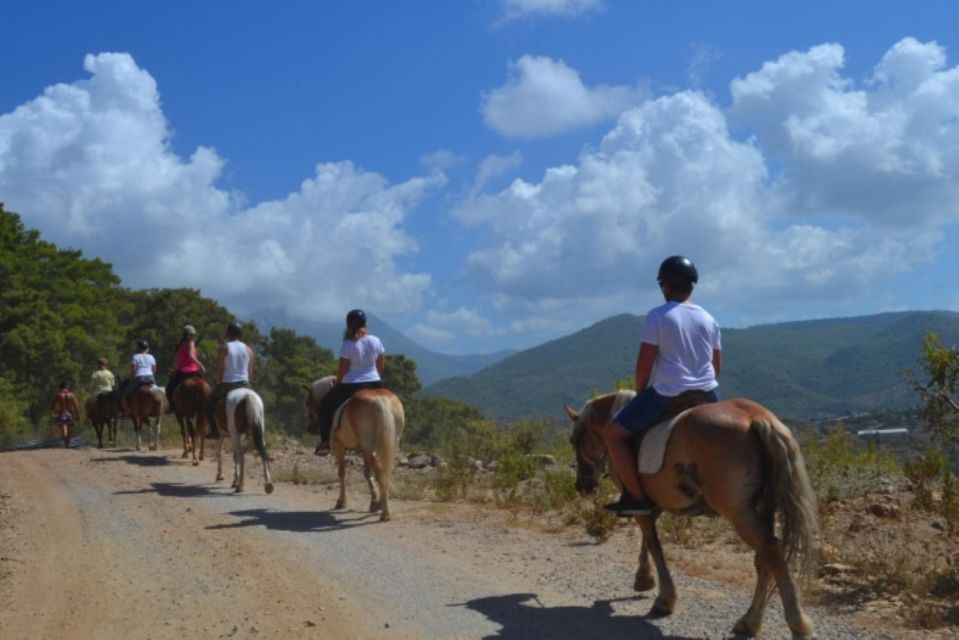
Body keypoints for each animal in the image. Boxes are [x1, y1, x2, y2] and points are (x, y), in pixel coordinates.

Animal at [304, 376, 402, 520]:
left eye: (308, 402)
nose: (310, 429)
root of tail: (379, 399)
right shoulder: (363, 449)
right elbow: (367, 473)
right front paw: (374, 501)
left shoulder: (339, 447)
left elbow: (342, 473)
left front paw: (341, 502)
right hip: (390, 443)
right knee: (384, 470)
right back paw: (383, 506)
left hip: (369, 445)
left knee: (380, 471)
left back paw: (385, 513)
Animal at [568, 388, 820, 636]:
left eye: (574, 440)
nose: (582, 486)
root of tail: (757, 417)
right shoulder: (653, 505)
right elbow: (647, 542)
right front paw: (643, 578)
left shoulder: (639, 504)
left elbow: (654, 545)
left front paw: (664, 599)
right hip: (764, 506)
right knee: (763, 558)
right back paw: (750, 622)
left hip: (739, 512)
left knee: (771, 551)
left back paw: (796, 623)